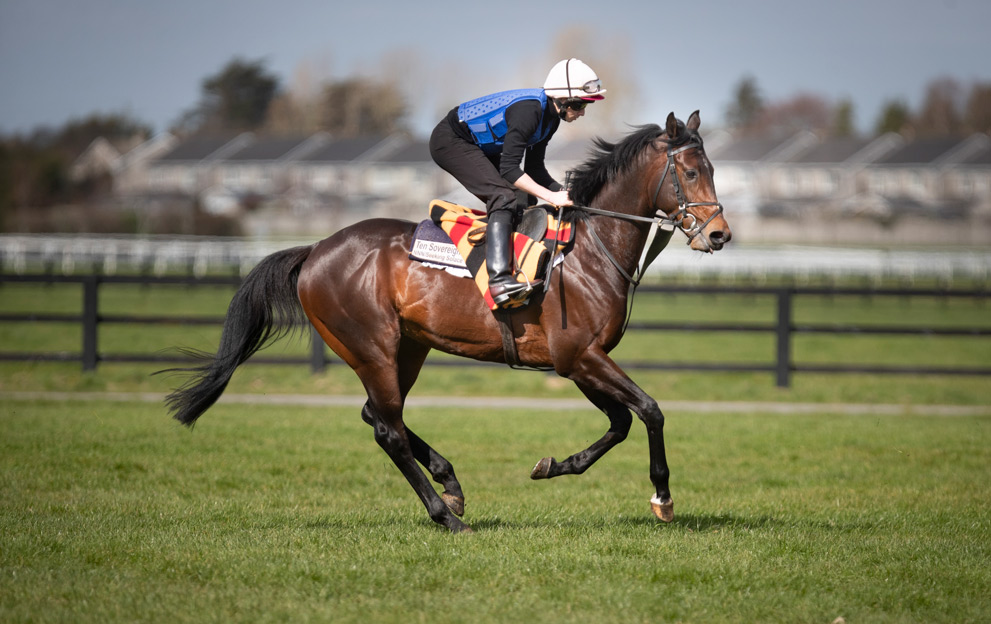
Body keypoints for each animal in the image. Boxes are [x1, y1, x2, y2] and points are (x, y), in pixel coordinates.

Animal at [164, 111, 731, 534]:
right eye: (690, 172)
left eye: (711, 169)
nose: (720, 234)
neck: (588, 251)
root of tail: (316, 249)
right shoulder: (579, 356)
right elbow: (649, 411)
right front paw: (663, 496)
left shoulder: (577, 362)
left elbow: (619, 423)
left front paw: (553, 466)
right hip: (370, 347)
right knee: (387, 430)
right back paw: (445, 514)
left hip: (408, 348)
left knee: (378, 415)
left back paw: (450, 484)